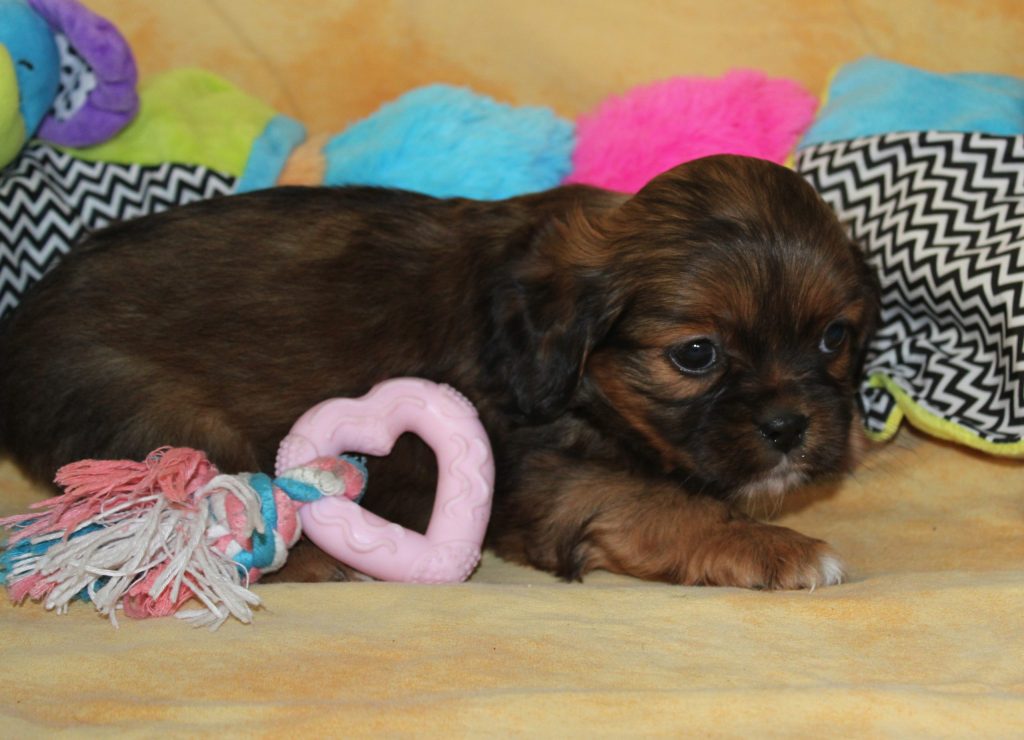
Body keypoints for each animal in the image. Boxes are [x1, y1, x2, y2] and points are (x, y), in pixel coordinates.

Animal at [0, 154, 878, 589]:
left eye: (835, 338)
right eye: (696, 354)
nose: (791, 427)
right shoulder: (545, 478)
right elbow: (662, 503)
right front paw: (777, 547)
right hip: (161, 417)